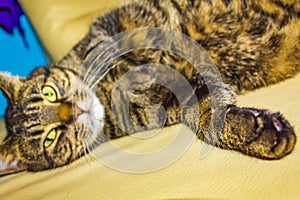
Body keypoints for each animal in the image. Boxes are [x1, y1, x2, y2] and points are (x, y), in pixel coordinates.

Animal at [0, 0, 300, 175]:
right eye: (49, 139)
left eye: (49, 92)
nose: (75, 110)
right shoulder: (173, 105)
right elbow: (205, 114)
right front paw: (256, 131)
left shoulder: (115, 23)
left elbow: (116, 45)